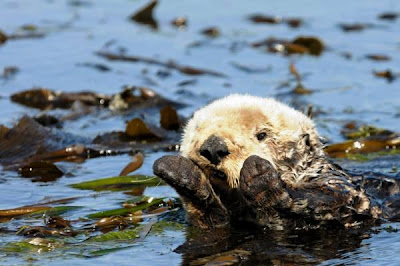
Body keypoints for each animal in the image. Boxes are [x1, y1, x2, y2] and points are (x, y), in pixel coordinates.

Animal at [153, 94, 400, 230]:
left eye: (262, 135)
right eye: (198, 129)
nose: (213, 147)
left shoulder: (337, 185)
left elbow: (333, 198)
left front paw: (258, 174)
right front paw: (182, 174)